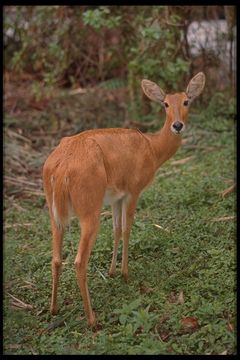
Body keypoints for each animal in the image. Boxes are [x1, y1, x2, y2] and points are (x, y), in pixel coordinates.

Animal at [42, 71, 204, 324]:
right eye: (166, 104)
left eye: (186, 101)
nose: (178, 125)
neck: (152, 149)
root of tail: (61, 168)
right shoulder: (134, 190)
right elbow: (128, 228)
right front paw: (126, 274)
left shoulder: (115, 197)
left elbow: (117, 229)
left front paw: (112, 271)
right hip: (89, 207)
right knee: (79, 261)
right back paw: (92, 319)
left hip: (53, 210)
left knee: (56, 258)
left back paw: (54, 308)